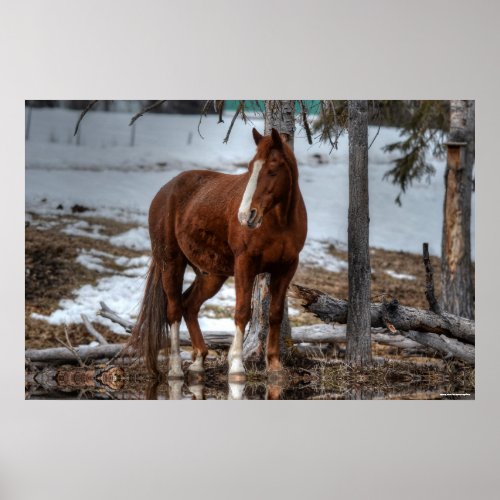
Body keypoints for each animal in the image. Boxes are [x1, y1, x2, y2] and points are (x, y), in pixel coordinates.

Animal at [128, 127, 308, 380]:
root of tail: (165, 190)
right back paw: (175, 368)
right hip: (171, 263)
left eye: (272, 170)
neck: (280, 221)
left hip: (211, 275)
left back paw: (199, 360)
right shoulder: (245, 264)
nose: (246, 215)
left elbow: (275, 314)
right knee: (174, 310)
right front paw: (237, 366)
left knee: (189, 305)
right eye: (250, 168)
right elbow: (242, 312)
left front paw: (274, 365)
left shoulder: (287, 267)